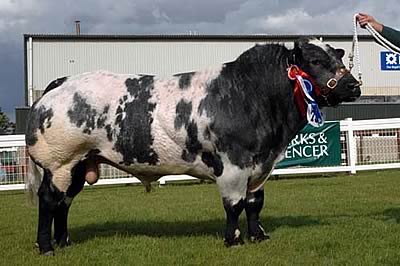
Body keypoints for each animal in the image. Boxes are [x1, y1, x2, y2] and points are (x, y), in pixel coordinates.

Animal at [26, 36, 360, 255]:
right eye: (315, 61)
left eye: (339, 58)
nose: (353, 85)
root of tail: (62, 82)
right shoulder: (234, 165)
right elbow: (235, 205)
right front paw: (233, 239)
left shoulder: (260, 166)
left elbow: (254, 204)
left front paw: (258, 236)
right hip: (60, 162)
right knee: (49, 200)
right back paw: (46, 246)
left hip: (80, 163)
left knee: (64, 203)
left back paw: (65, 242)